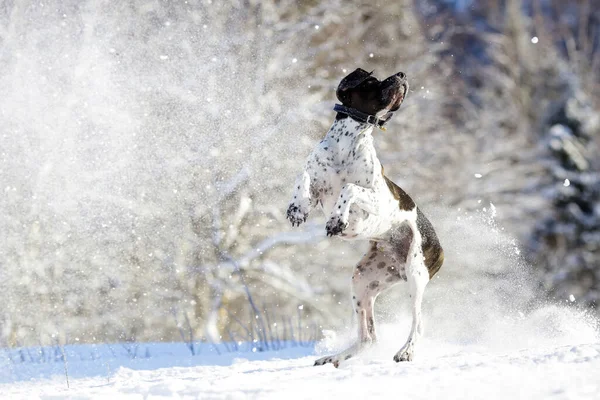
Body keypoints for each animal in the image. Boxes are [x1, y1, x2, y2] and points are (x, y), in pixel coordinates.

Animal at [286, 68, 446, 366]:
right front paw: (296, 208)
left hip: (416, 276)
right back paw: (333, 358)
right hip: (362, 280)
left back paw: (406, 351)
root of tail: (441, 248)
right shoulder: (316, 189)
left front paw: (336, 220)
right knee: (368, 338)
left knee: (418, 323)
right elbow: (303, 177)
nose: (402, 74)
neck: (347, 143)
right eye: (372, 81)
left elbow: (349, 188)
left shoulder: (377, 202)